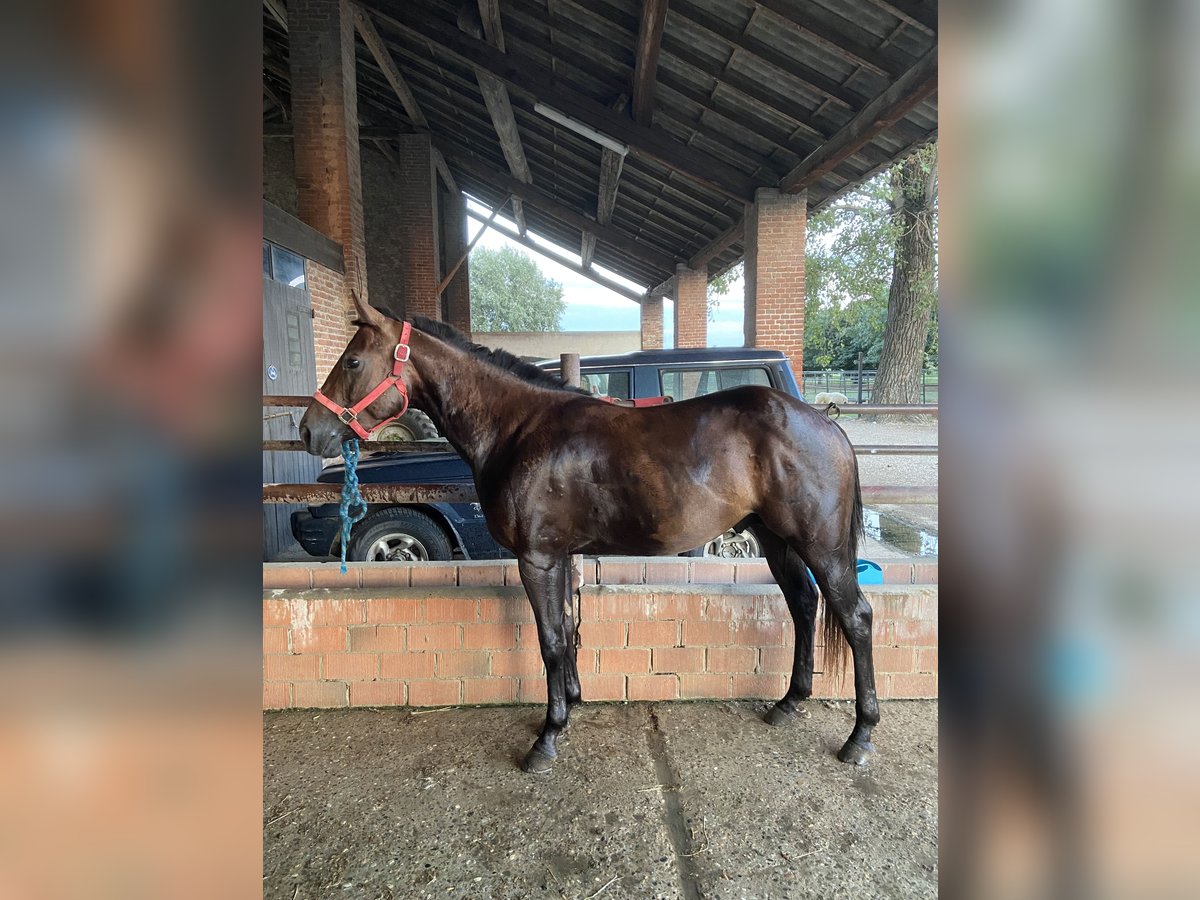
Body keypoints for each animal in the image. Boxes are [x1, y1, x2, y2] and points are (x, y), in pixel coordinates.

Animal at [300, 296, 883, 777]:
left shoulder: (535, 557)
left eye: (353, 362)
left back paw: (859, 736)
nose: (310, 431)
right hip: (776, 539)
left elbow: (551, 640)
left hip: (821, 545)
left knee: (854, 616)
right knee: (804, 605)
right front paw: (573, 703)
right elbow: (564, 629)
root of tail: (827, 423)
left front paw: (547, 737)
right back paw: (789, 703)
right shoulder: (555, 556)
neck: (518, 429)